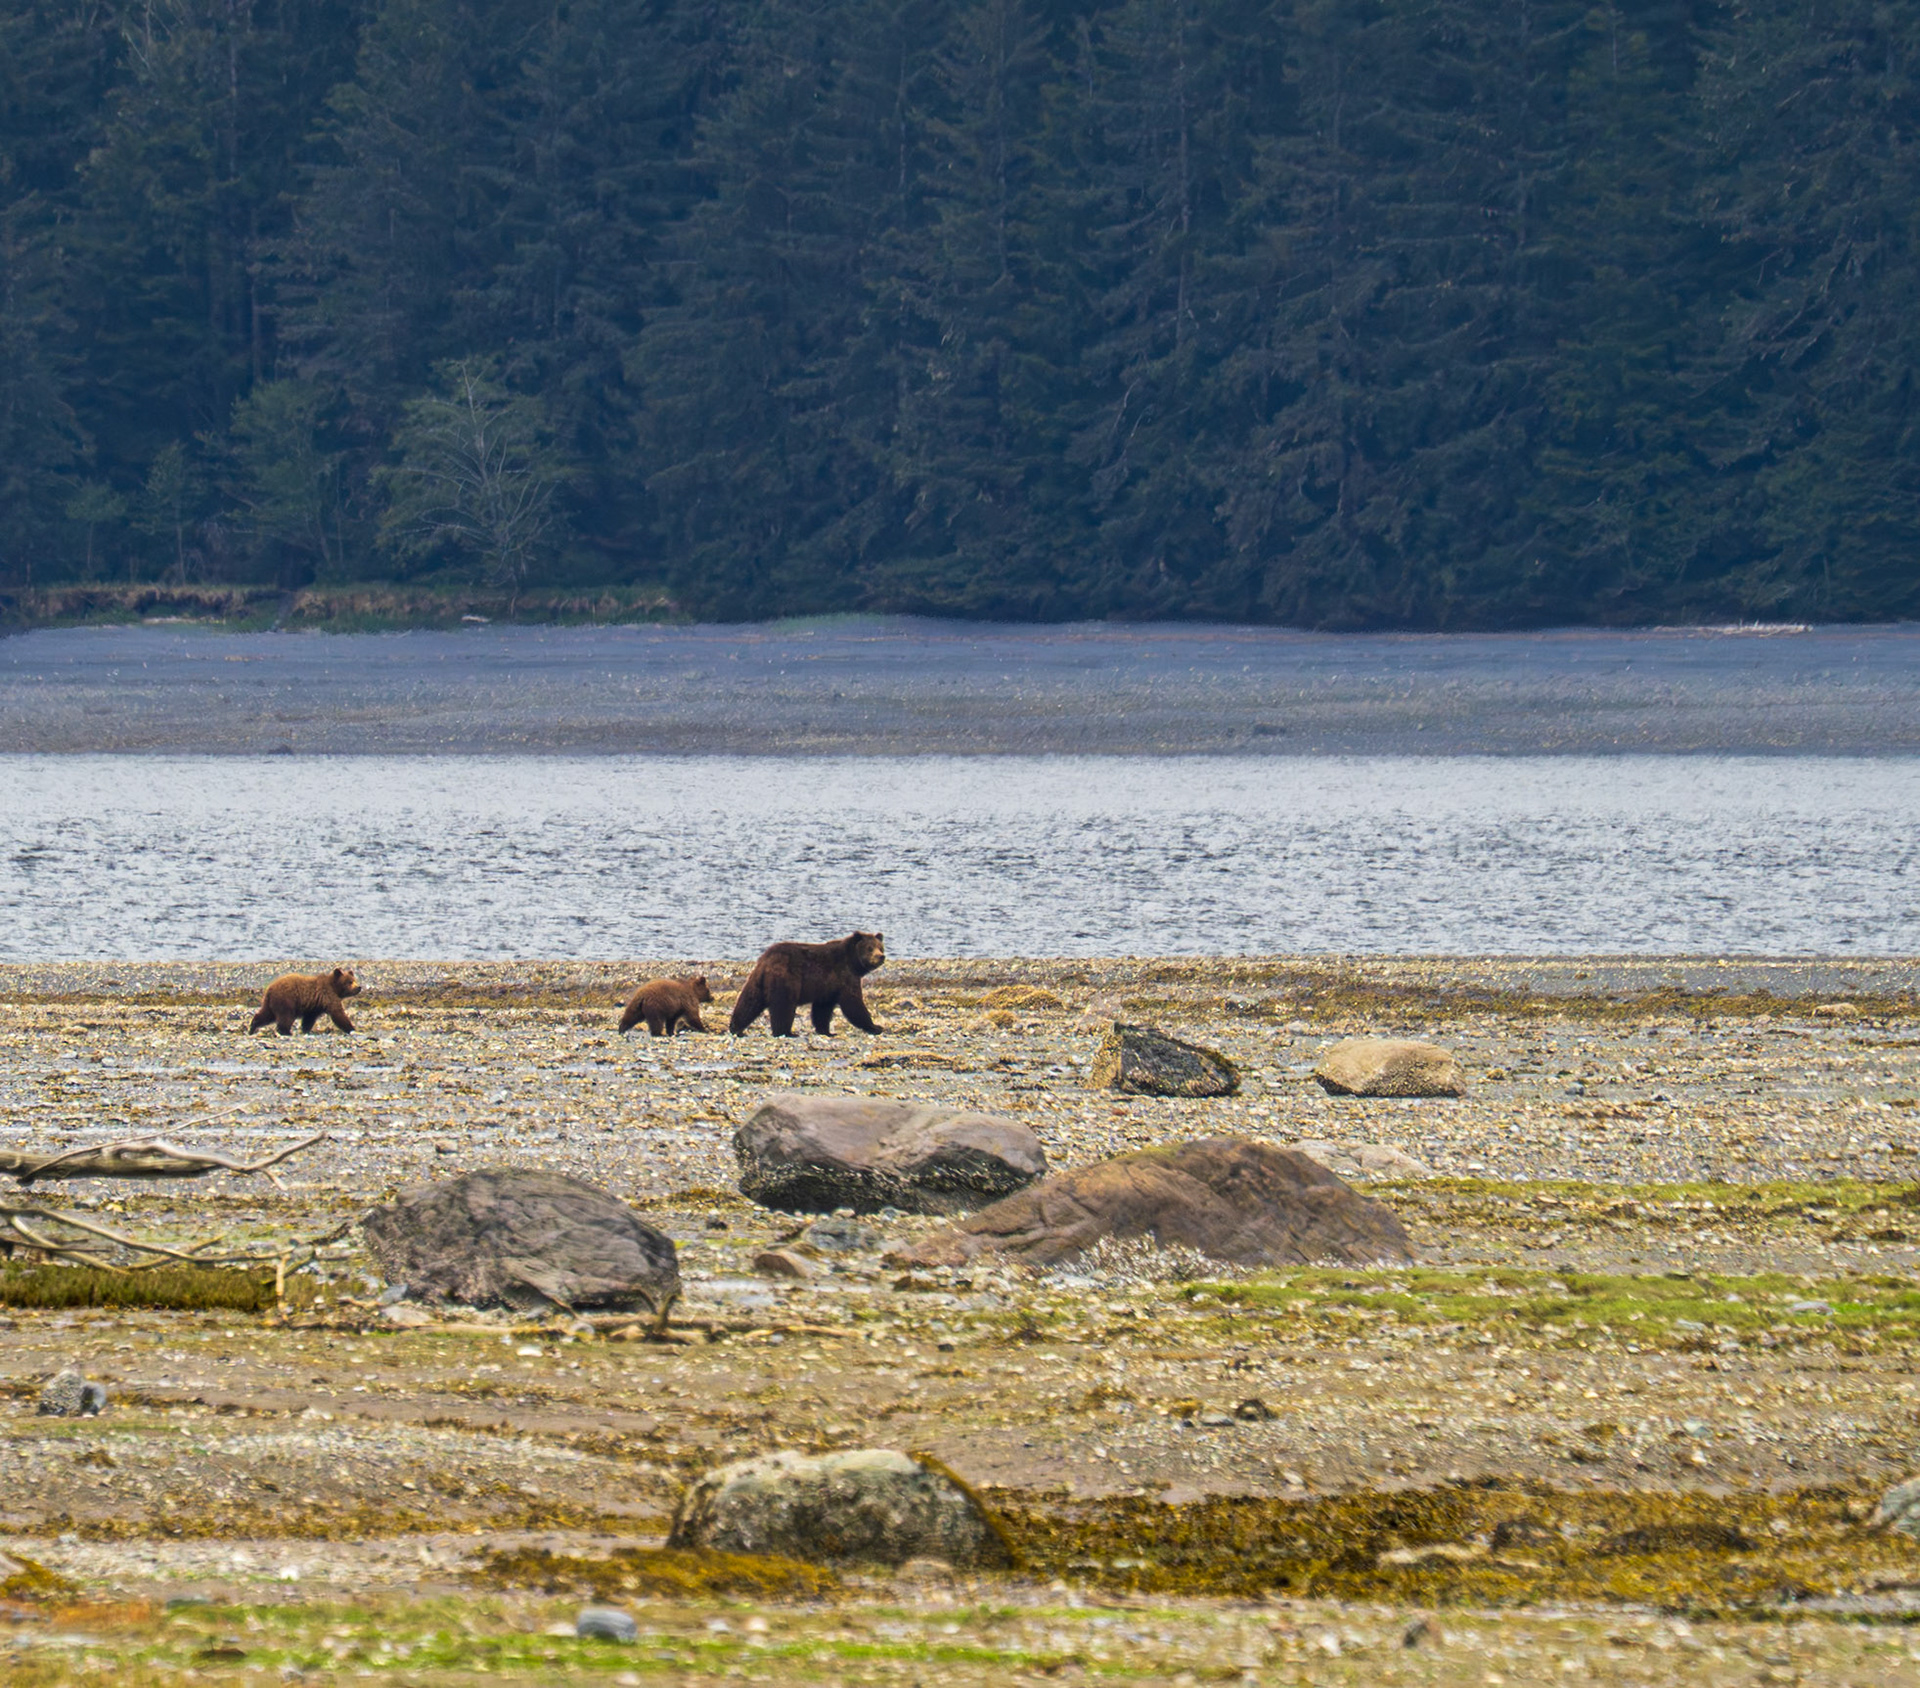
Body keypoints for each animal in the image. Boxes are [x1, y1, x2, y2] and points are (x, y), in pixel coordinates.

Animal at [729, 931, 886, 1038]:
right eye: (870, 948)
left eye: (881, 947)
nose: (881, 956)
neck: (853, 963)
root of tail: (766, 960)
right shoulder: (844, 975)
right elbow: (853, 1003)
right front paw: (875, 1026)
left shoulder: (827, 986)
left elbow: (822, 1009)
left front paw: (826, 1031)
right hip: (787, 979)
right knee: (783, 1006)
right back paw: (786, 1032)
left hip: (758, 981)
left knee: (749, 1001)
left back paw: (736, 1028)